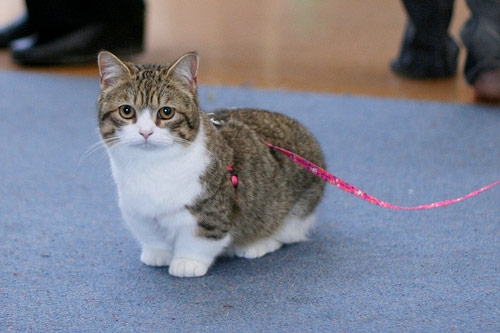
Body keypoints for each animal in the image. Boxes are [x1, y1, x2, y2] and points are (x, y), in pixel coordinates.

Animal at [96, 50, 326, 276]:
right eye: (126, 111)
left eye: (166, 112)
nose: (145, 132)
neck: (152, 166)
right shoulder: (137, 210)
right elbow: (151, 235)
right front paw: (158, 253)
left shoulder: (211, 212)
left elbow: (199, 239)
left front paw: (187, 262)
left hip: (297, 210)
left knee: (285, 232)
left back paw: (259, 244)